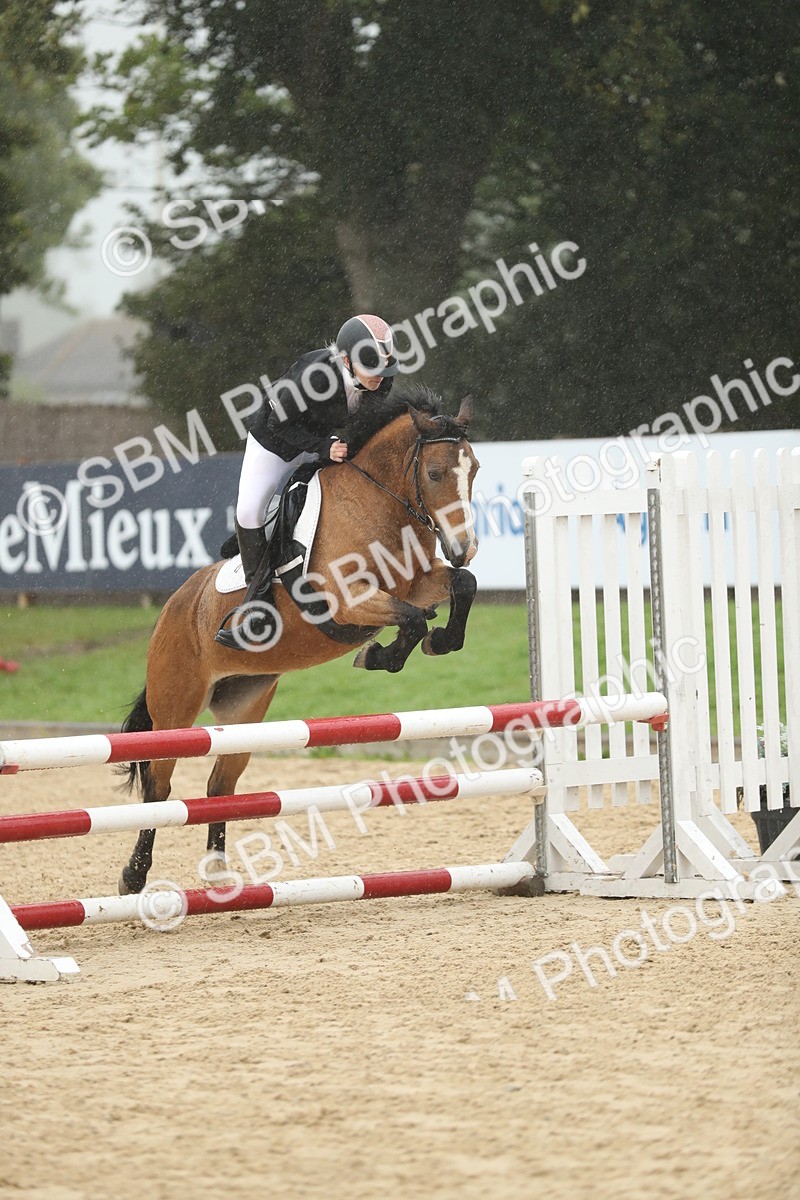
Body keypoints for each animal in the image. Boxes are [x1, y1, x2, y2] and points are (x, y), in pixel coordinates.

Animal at [117, 385, 480, 894]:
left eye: (475, 469)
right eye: (434, 473)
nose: (464, 547)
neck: (376, 502)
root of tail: (173, 608)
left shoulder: (418, 582)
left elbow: (460, 587)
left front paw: (438, 640)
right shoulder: (348, 599)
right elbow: (411, 621)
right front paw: (378, 655)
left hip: (244, 708)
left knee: (220, 784)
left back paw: (219, 873)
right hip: (175, 708)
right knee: (159, 785)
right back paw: (134, 876)